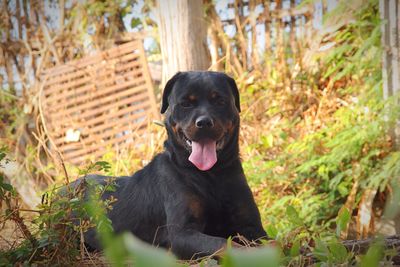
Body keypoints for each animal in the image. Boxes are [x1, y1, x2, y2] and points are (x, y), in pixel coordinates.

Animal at [74, 71, 268, 260]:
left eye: (220, 101)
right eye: (185, 104)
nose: (204, 122)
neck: (210, 174)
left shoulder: (252, 226)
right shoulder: (182, 234)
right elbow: (224, 244)